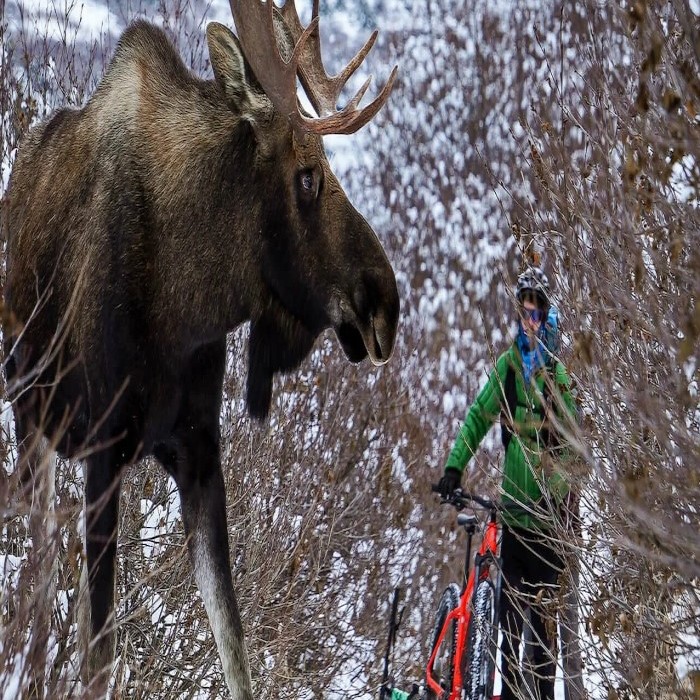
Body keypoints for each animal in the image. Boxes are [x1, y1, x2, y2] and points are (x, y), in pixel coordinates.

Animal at [1, 0, 399, 697]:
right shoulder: (103, 452)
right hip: (33, 418)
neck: (188, 306)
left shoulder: (200, 451)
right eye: (307, 177)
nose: (385, 302)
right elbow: (99, 655)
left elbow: (234, 649)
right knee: (39, 582)